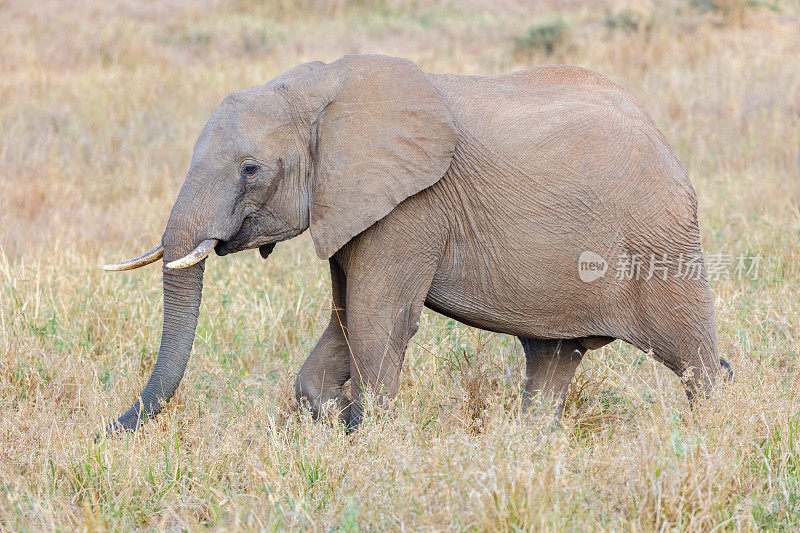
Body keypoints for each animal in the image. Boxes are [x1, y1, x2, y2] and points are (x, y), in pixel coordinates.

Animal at [103, 54, 728, 434]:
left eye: (251, 170)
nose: (106, 430)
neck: (321, 90)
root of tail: (665, 142)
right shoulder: (352, 204)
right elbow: (345, 316)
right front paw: (337, 418)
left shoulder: (412, 207)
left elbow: (377, 317)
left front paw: (368, 435)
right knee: (551, 361)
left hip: (659, 240)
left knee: (695, 360)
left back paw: (712, 436)